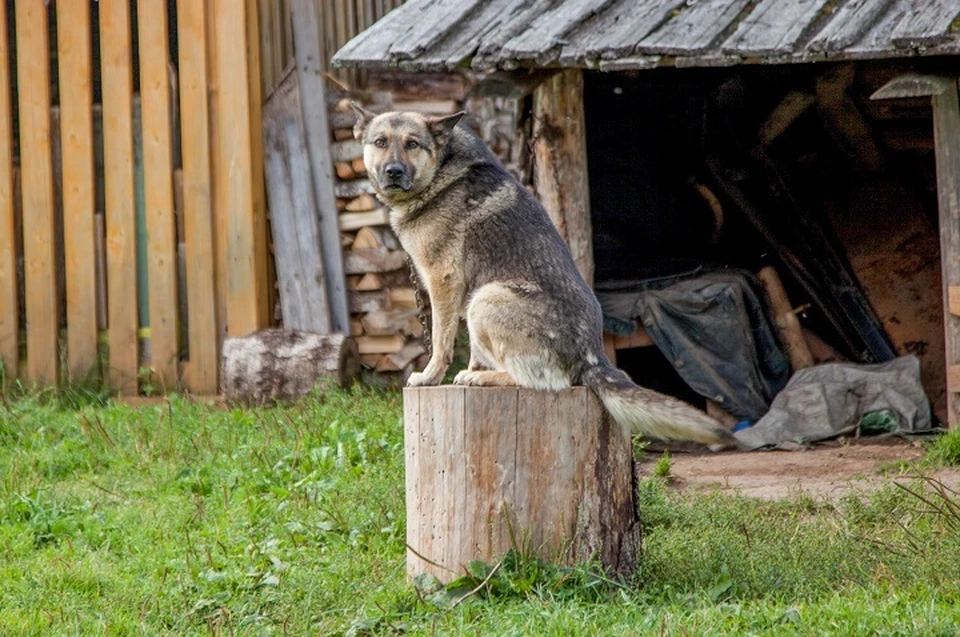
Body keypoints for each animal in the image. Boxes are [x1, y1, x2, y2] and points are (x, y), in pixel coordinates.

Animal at [352, 104, 736, 444]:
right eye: (380, 142)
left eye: (413, 144)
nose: (393, 172)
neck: (442, 169)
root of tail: (592, 356)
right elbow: (472, 350)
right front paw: (472, 370)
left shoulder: (443, 283)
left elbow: (441, 342)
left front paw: (430, 377)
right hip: (481, 300)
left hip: (487, 299)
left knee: (545, 383)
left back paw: (485, 380)